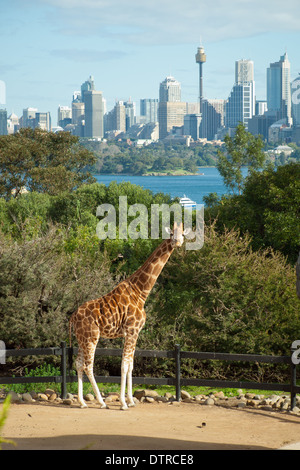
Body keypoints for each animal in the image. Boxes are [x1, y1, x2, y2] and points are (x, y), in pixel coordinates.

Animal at [69, 222, 189, 410]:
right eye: (171, 233)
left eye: (182, 233)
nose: (177, 242)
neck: (141, 292)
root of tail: (73, 317)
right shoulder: (131, 330)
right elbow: (124, 365)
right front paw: (124, 403)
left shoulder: (134, 333)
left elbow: (131, 365)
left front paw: (131, 401)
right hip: (91, 337)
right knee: (88, 365)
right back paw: (102, 402)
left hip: (82, 338)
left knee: (79, 364)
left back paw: (82, 403)